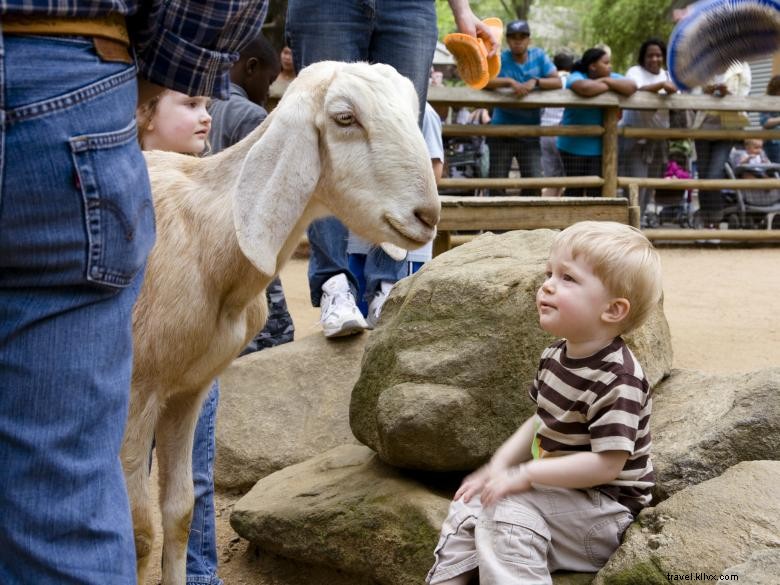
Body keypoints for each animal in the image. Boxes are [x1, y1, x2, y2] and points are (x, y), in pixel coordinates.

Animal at [122, 61, 438, 580]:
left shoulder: (188, 390)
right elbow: (137, 531)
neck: (203, 238)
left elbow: (180, 511)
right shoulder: (134, 389)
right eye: (345, 118)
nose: (427, 215)